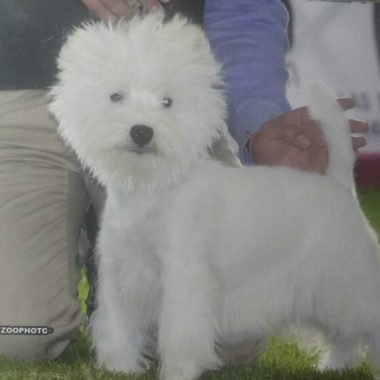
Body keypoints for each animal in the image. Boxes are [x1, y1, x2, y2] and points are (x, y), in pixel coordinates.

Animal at [49, 11, 380, 380]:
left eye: (167, 102)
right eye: (116, 97)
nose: (141, 132)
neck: (152, 190)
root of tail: (340, 185)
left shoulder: (183, 276)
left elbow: (180, 331)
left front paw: (178, 370)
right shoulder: (120, 274)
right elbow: (119, 328)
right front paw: (120, 368)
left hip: (344, 278)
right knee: (343, 334)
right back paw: (334, 366)